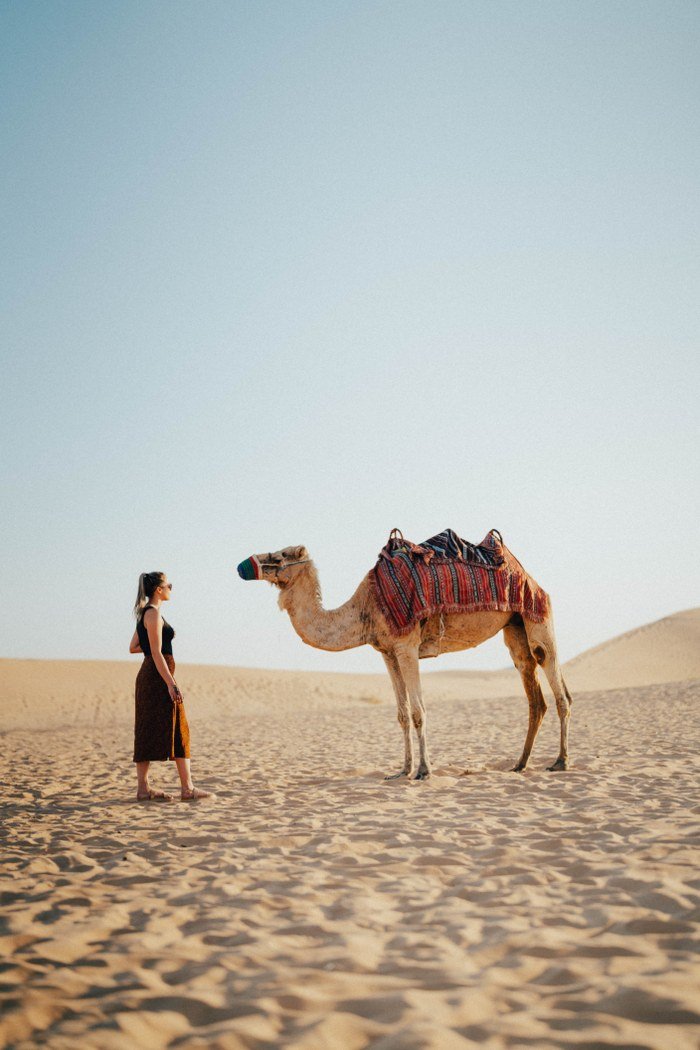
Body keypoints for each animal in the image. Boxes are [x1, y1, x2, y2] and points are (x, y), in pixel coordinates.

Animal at [238, 541, 570, 781]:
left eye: (280, 556)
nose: (244, 565)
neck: (367, 606)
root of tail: (531, 579)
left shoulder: (407, 646)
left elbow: (418, 711)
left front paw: (423, 771)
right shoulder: (387, 653)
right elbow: (401, 715)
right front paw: (402, 770)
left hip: (538, 615)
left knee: (556, 684)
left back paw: (560, 761)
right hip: (513, 626)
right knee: (533, 692)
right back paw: (520, 764)